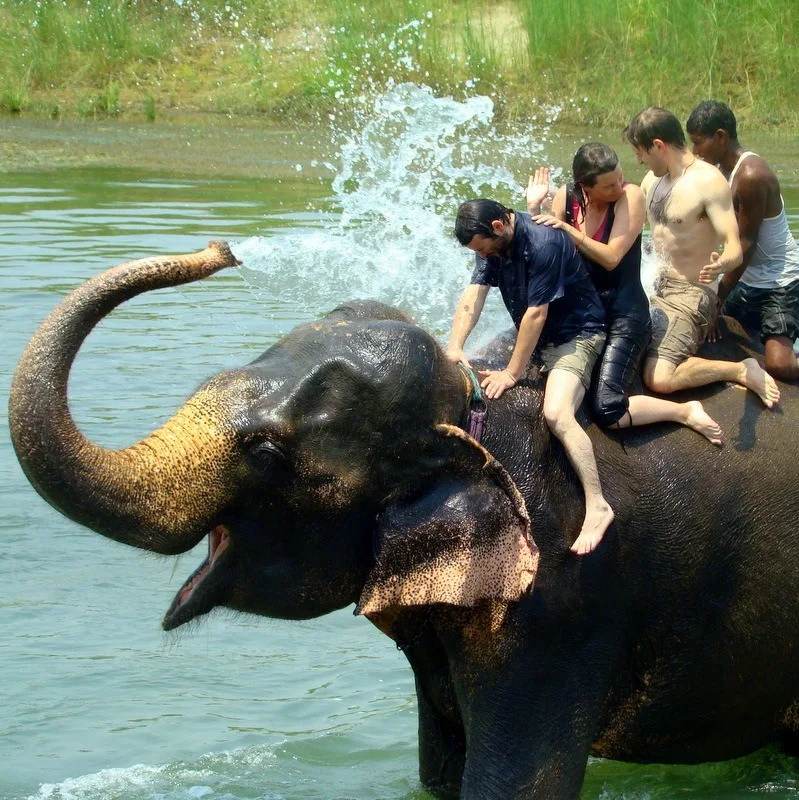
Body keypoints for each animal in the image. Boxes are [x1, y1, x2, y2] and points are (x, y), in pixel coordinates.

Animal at [9, 241, 799, 800]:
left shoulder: (559, 609)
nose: (221, 248)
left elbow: (518, 784)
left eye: (268, 453)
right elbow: (436, 773)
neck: (468, 409)